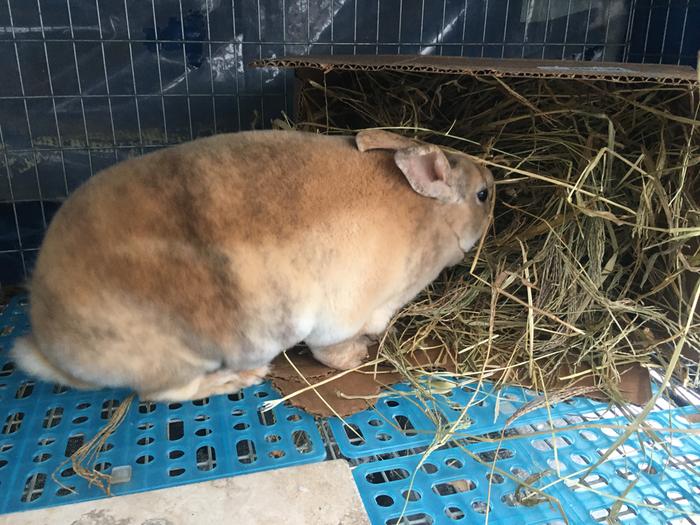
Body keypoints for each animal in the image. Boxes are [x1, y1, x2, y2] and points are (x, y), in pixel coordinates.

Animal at [10, 129, 492, 400]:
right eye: (484, 195)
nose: (495, 187)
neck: (424, 215)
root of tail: (47, 342)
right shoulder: (344, 317)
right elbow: (332, 351)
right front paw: (359, 355)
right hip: (178, 361)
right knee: (159, 395)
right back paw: (237, 380)